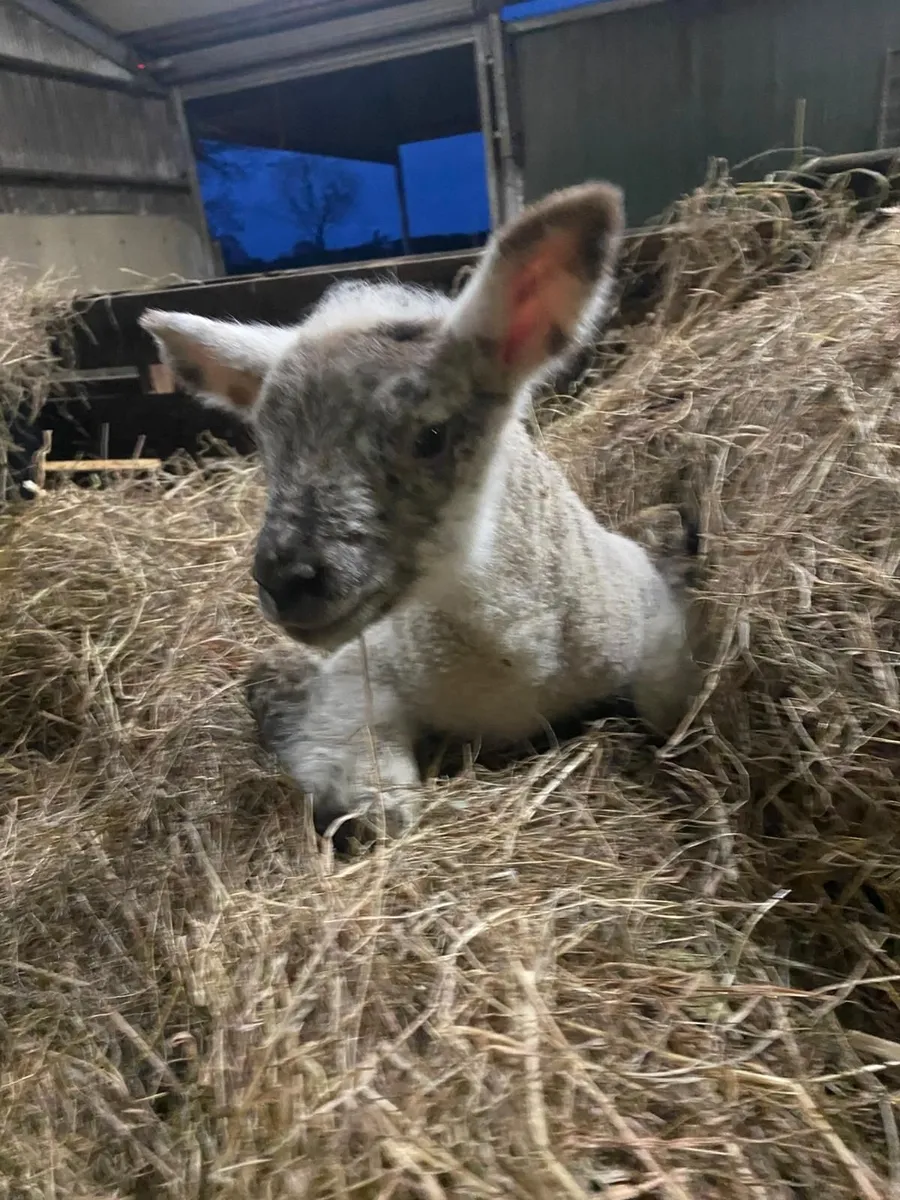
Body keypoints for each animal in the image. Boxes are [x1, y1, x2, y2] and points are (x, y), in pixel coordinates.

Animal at [141, 182, 697, 845]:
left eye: (430, 436)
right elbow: (384, 811)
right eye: (268, 448)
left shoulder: (657, 622)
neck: (511, 671)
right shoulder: (355, 680)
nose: (285, 580)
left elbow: (669, 708)